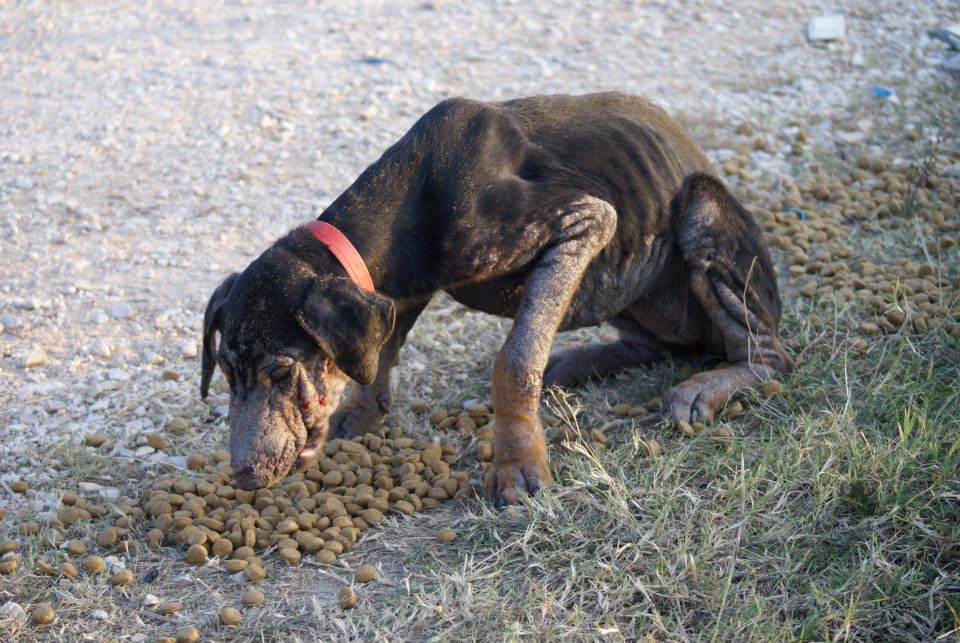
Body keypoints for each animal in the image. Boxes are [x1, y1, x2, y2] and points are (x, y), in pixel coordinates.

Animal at [199, 92, 792, 508]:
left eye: (281, 373)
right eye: (226, 374)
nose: (244, 474)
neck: (411, 196)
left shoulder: (585, 222)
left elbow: (514, 363)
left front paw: (517, 467)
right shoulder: (406, 288)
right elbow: (385, 349)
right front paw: (364, 410)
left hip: (700, 216)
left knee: (768, 356)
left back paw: (707, 386)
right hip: (623, 281)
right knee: (654, 344)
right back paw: (576, 361)